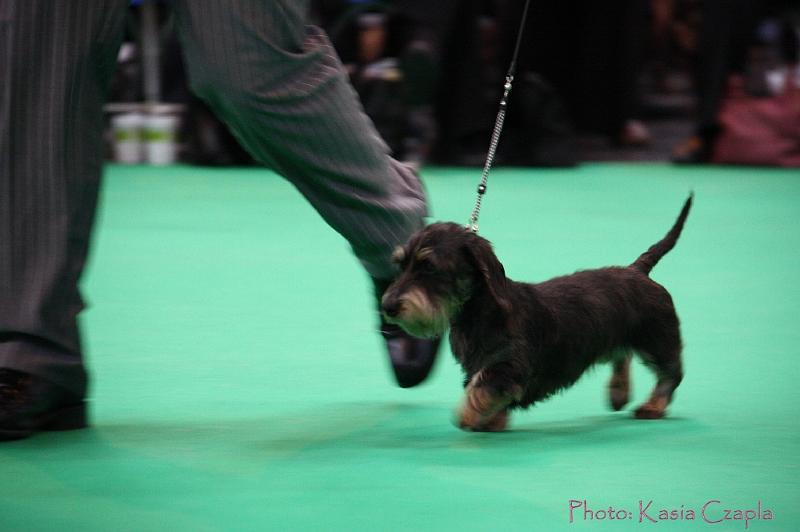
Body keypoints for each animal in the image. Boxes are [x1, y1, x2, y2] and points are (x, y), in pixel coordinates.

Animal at [382, 195, 692, 432]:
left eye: (429, 267)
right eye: (400, 265)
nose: (387, 306)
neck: (479, 313)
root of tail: (638, 270)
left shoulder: (508, 366)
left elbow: (482, 387)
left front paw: (468, 416)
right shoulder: (477, 366)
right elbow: (484, 391)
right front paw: (492, 421)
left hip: (657, 340)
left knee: (671, 374)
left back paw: (652, 406)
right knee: (621, 355)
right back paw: (618, 392)